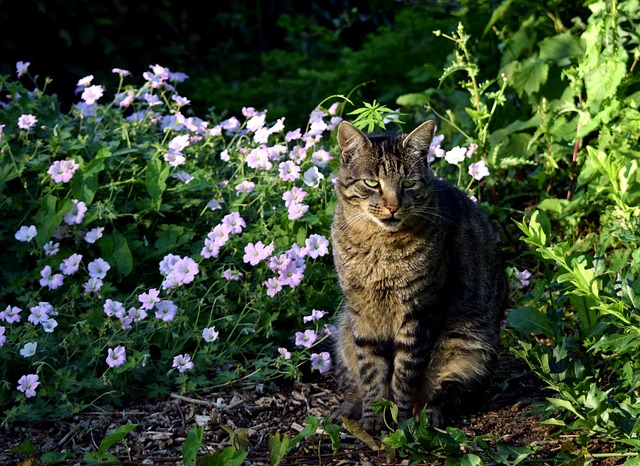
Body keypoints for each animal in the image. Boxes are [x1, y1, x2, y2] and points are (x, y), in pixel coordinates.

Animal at [330, 120, 504, 434]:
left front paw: (398, 420)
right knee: (354, 381)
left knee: (444, 394)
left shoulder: (418, 312)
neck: (378, 247)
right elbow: (370, 371)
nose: (392, 206)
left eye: (408, 183)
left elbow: (403, 374)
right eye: (372, 183)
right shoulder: (361, 314)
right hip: (344, 332)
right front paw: (372, 417)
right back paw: (348, 411)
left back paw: (428, 415)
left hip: (468, 349)